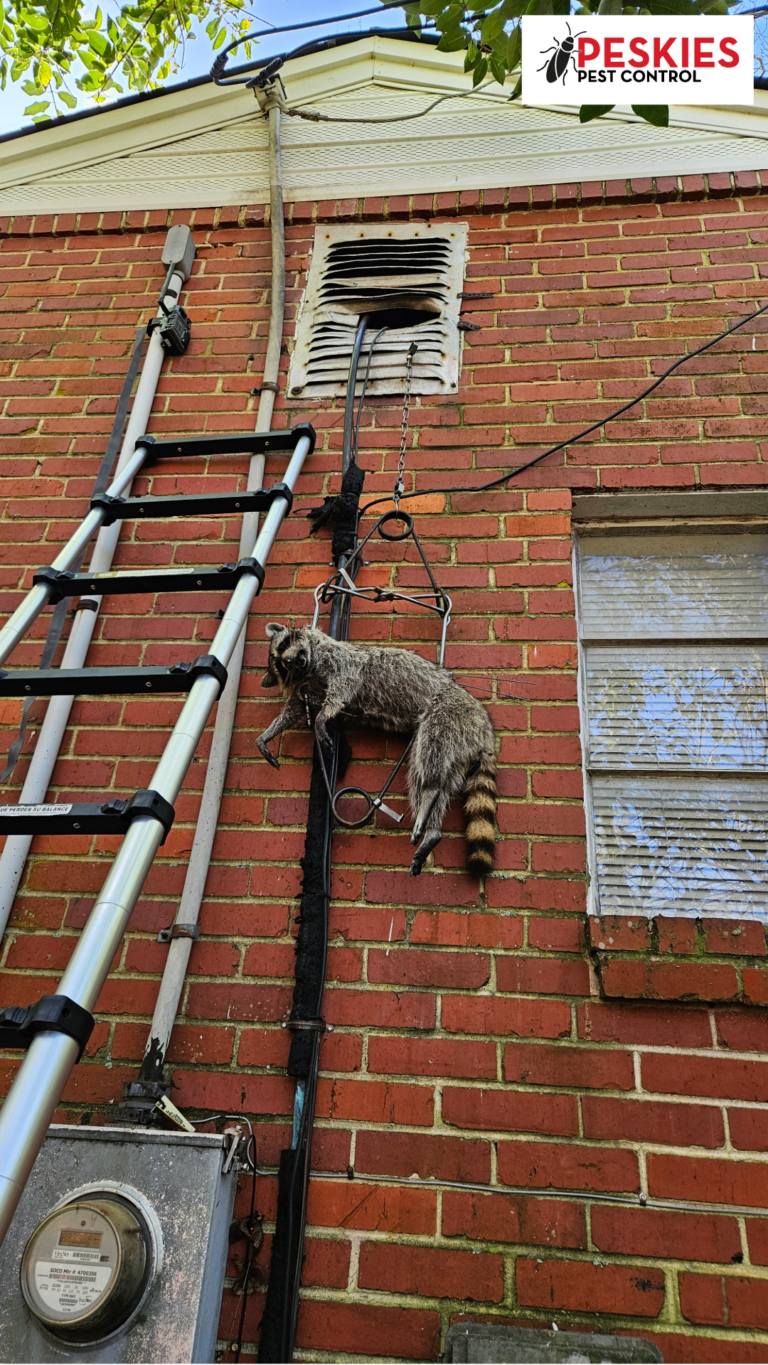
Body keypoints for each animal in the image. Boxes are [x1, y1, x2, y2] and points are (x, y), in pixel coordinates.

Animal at [256, 623, 497, 878]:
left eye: (285, 645)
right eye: (281, 664)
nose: (292, 660)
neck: (309, 666)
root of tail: (484, 727)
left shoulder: (338, 660)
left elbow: (343, 684)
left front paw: (322, 717)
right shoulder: (307, 686)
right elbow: (295, 709)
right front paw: (269, 733)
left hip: (449, 712)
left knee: (430, 751)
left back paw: (429, 793)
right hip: (460, 748)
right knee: (431, 776)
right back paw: (432, 827)